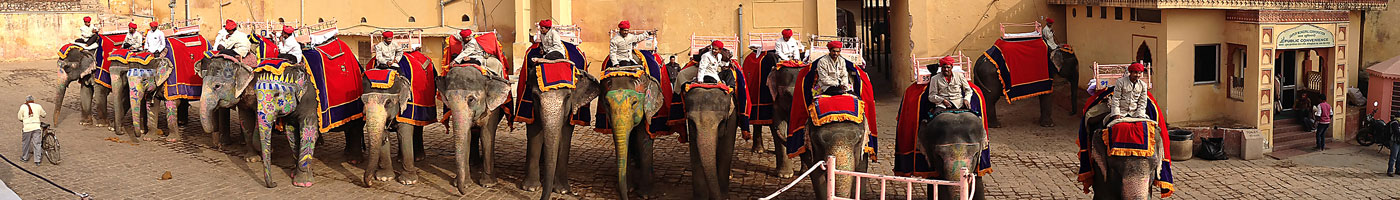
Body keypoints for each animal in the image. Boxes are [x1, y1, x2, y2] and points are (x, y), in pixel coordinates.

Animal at [515, 40, 602, 198]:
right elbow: (534, 132)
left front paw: (562, 190)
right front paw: (530, 188)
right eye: (535, 96)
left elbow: (565, 135)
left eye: (568, 97)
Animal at [590, 49, 672, 198]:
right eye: (606, 104)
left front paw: (645, 194)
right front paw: (629, 189)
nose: (625, 197)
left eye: (634, 102)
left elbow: (643, 138)